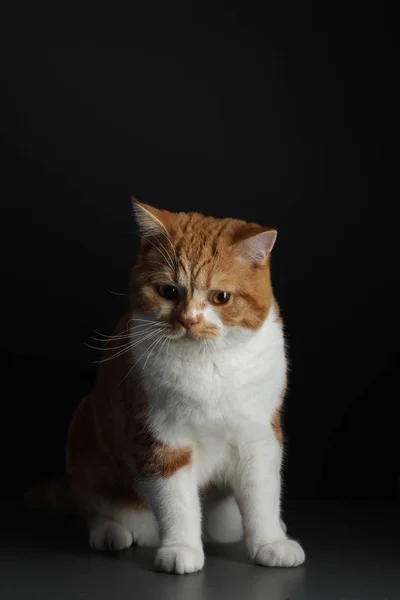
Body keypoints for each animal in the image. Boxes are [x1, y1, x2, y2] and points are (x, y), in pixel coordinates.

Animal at [25, 199, 304, 576]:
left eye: (221, 297)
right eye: (169, 291)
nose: (189, 319)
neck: (209, 366)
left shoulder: (257, 438)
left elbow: (262, 497)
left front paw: (270, 542)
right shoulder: (162, 440)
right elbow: (177, 503)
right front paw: (181, 549)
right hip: (85, 435)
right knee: (95, 505)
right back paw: (110, 533)